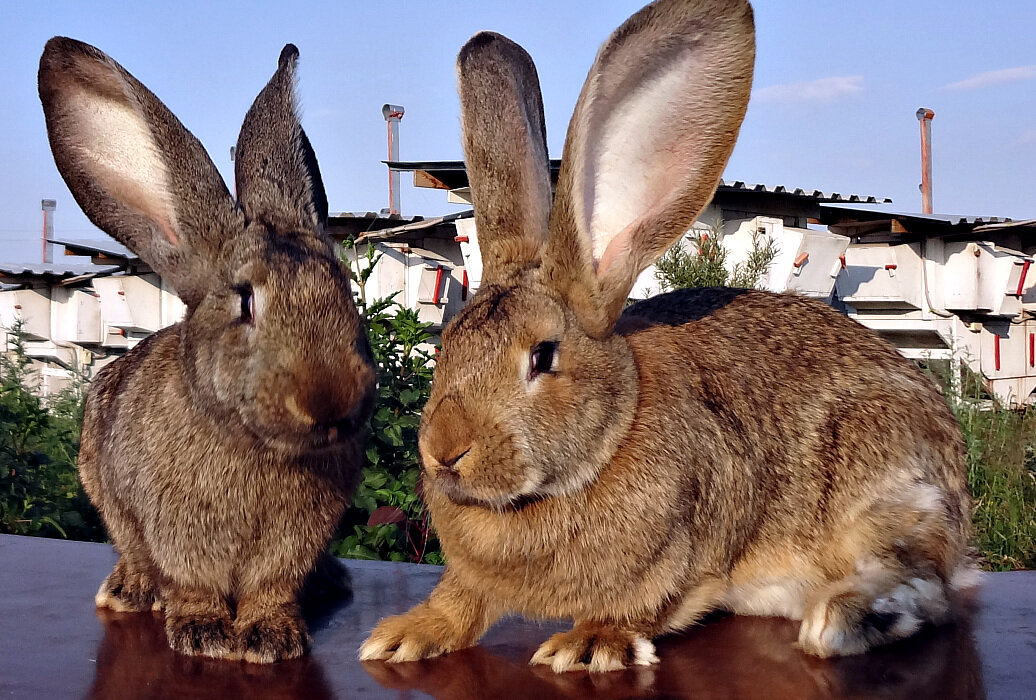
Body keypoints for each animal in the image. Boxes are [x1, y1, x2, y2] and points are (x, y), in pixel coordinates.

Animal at [39, 37, 377, 662]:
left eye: (344, 290)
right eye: (245, 301)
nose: (332, 400)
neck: (252, 443)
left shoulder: (290, 549)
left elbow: (272, 588)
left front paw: (272, 637)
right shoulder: (174, 534)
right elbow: (190, 583)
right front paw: (204, 633)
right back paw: (129, 590)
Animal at [360, 0, 973, 675]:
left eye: (543, 356)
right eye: (448, 344)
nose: (445, 451)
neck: (609, 438)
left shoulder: (686, 557)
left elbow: (643, 605)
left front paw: (588, 645)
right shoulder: (473, 578)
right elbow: (460, 600)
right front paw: (403, 636)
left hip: (887, 485)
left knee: (924, 585)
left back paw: (841, 621)